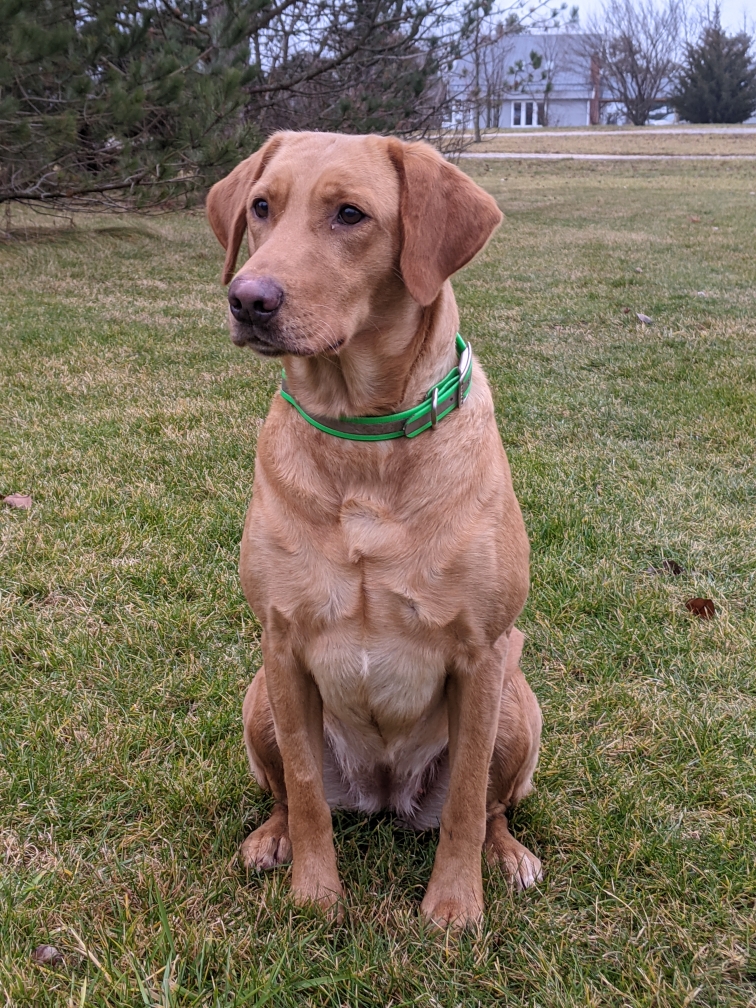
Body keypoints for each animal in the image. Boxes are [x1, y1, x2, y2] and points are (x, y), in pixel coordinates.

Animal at [204, 132, 540, 927]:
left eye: (350, 214)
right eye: (261, 207)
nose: (248, 299)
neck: (362, 441)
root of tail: (386, 796)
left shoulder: (481, 655)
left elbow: (465, 804)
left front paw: (454, 907)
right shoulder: (282, 645)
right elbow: (302, 790)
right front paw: (315, 898)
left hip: (518, 702)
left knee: (488, 807)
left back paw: (506, 854)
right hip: (258, 699)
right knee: (288, 795)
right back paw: (271, 839)